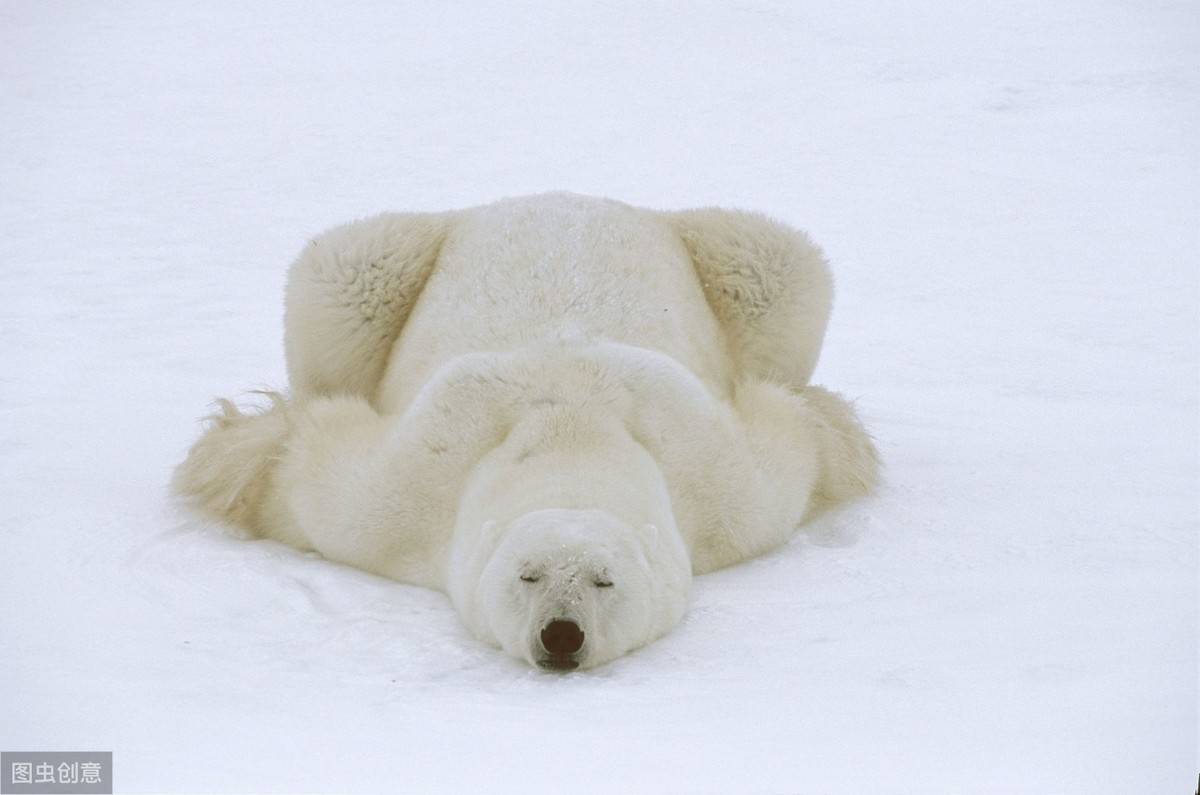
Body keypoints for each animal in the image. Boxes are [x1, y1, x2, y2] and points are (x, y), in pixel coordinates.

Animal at [174, 193, 878, 672]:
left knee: (778, 268)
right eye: (528, 576)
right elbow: (312, 471)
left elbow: (792, 445)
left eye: (604, 580)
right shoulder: (407, 494)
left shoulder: (719, 489)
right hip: (389, 263)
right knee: (342, 281)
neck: (570, 436)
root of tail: (558, 195)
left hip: (720, 256)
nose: (562, 635)